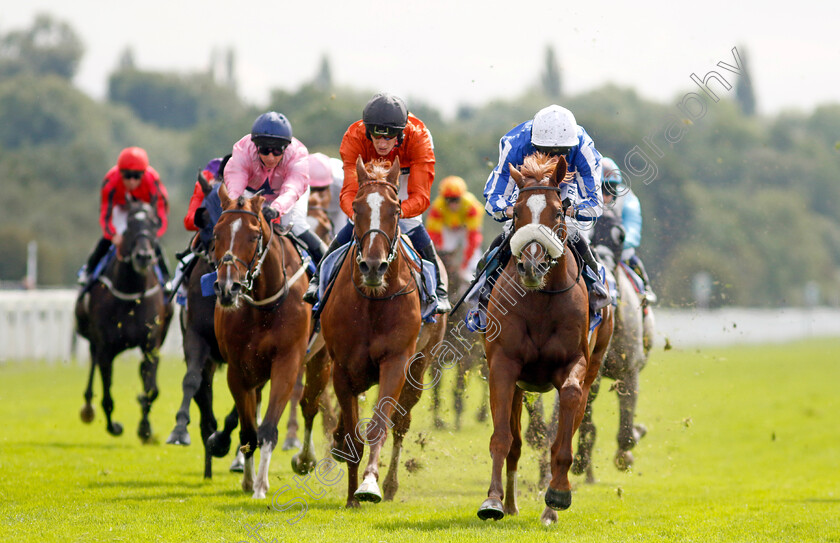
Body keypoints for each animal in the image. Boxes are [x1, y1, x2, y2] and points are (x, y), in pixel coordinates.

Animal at [75, 200, 174, 442]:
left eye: (153, 224)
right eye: (128, 226)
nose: (144, 256)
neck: (131, 292)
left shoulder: (151, 344)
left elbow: (151, 389)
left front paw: (145, 428)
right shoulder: (106, 347)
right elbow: (107, 395)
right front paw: (114, 426)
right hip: (92, 338)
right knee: (93, 363)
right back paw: (88, 408)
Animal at [212, 185, 314, 500]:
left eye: (254, 235)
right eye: (216, 233)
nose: (228, 288)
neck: (264, 304)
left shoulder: (287, 362)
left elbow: (268, 429)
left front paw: (260, 486)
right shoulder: (238, 370)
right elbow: (249, 430)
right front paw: (248, 480)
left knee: (313, 405)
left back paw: (306, 458)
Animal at [318, 157, 446, 510]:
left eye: (396, 208)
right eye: (357, 207)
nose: (373, 266)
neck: (373, 303)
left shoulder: (396, 361)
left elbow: (378, 427)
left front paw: (369, 485)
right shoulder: (342, 368)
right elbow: (352, 435)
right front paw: (351, 496)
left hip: (421, 363)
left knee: (400, 424)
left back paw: (389, 485)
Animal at [472, 153, 616, 528]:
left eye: (556, 212)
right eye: (518, 212)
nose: (532, 266)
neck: (539, 301)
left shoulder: (574, 363)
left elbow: (566, 415)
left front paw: (558, 494)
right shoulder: (503, 365)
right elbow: (502, 438)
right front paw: (492, 501)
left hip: (593, 368)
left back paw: (550, 506)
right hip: (519, 385)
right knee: (515, 442)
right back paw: (509, 503)